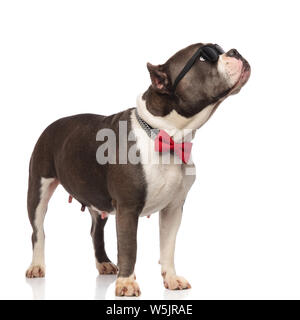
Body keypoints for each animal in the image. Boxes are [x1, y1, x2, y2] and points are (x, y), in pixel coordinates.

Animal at [25, 41, 251, 296]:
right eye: (205, 57)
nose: (234, 51)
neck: (165, 136)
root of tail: (52, 124)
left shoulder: (173, 208)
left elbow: (168, 245)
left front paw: (171, 278)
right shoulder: (127, 207)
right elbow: (129, 247)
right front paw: (126, 283)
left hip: (96, 196)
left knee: (96, 230)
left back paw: (104, 263)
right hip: (38, 189)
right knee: (38, 230)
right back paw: (36, 266)